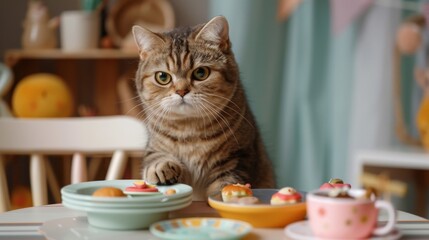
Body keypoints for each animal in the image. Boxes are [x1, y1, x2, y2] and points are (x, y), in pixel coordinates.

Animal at [132, 15, 276, 200]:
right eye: (162, 77)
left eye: (201, 73)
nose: (181, 91)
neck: (189, 128)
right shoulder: (153, 147)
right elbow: (154, 157)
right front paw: (161, 167)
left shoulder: (239, 157)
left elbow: (226, 182)